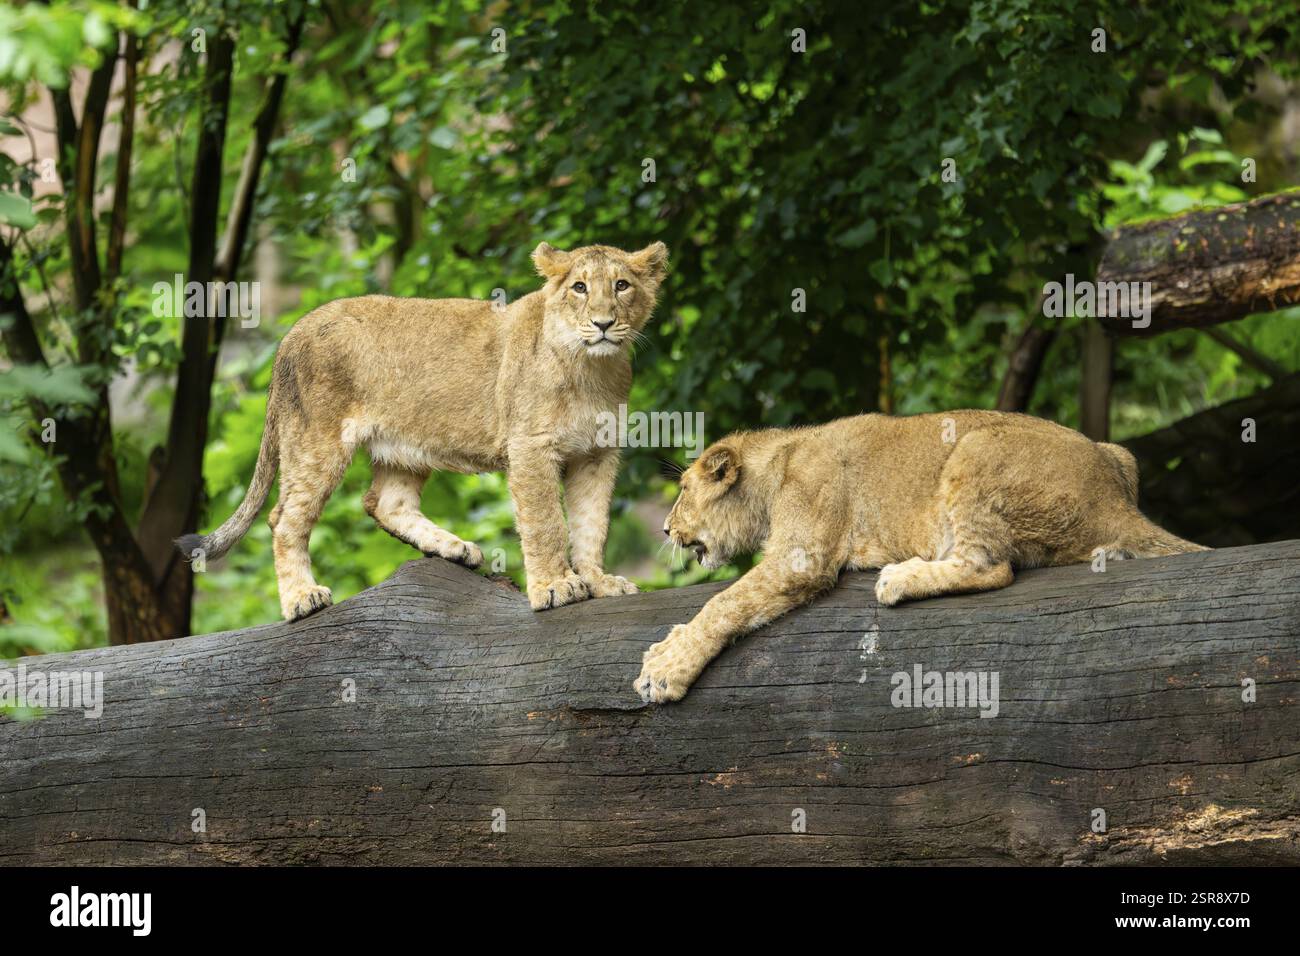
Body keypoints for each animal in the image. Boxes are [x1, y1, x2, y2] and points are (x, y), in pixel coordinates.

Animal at [178, 241, 669, 621]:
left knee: (383, 503)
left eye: (621, 286)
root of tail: (292, 332)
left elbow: (592, 524)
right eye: (579, 288)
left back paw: (455, 549)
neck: (593, 367)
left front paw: (599, 581)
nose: (603, 323)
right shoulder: (531, 447)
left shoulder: (597, 453)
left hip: (403, 446)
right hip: (317, 442)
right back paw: (302, 598)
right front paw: (555, 587)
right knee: (284, 518)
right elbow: (546, 521)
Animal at [636, 409, 1206, 703]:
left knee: (992, 566)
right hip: (1121, 455)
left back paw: (901, 577)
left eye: (682, 491)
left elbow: (726, 603)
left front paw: (666, 667)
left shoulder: (804, 556)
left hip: (975, 448)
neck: (776, 465)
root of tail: (1114, 502)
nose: (664, 528)